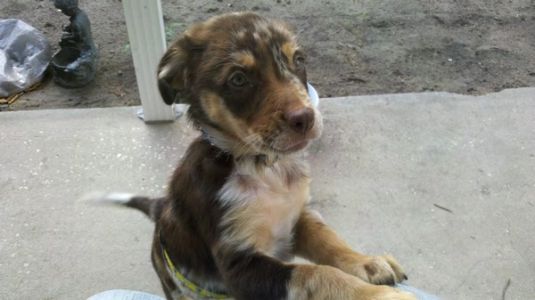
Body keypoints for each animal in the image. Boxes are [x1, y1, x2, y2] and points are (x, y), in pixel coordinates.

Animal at [111, 11, 416, 300]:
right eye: (238, 79)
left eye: (299, 60)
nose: (305, 118)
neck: (265, 168)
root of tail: (159, 207)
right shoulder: (239, 265)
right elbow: (314, 274)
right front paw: (382, 295)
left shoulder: (298, 217)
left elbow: (328, 240)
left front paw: (368, 263)